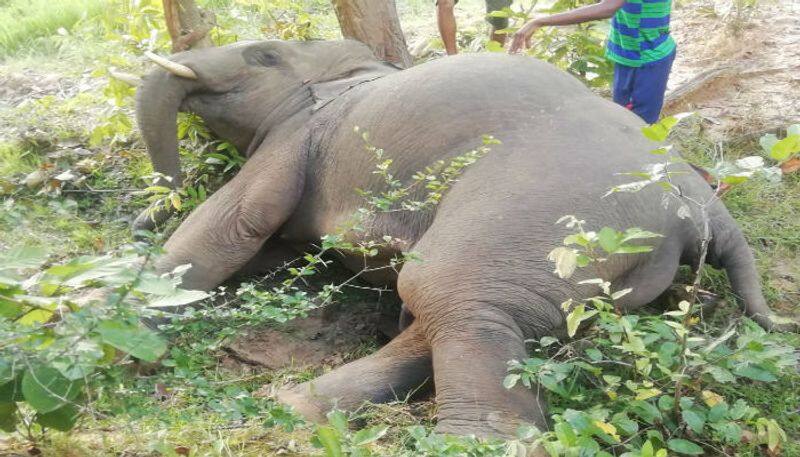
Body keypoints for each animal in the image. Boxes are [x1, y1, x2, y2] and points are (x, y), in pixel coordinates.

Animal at [133, 40, 788, 438]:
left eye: (261, 55)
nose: (145, 216)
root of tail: (703, 203)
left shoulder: (298, 137)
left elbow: (233, 224)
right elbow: (277, 247)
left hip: (548, 213)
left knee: (445, 294)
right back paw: (293, 407)